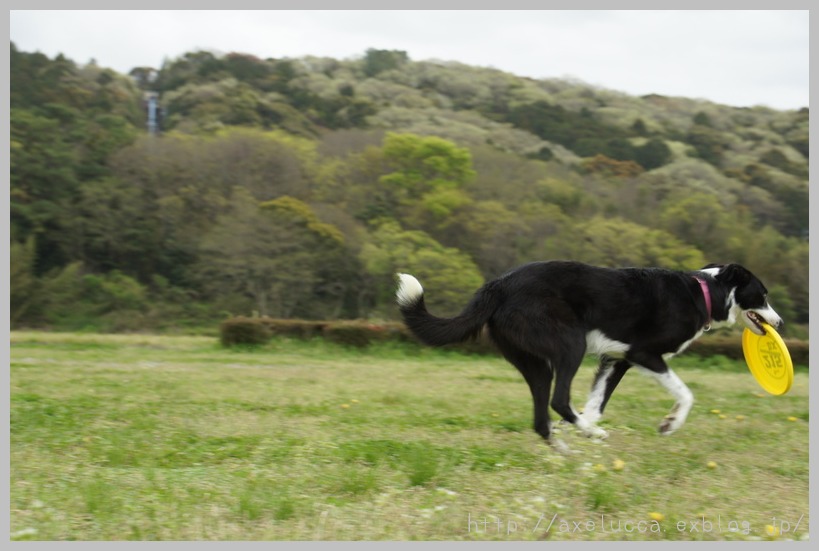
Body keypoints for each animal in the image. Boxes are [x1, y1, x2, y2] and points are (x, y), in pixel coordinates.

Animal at [400, 260, 784, 450]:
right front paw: (670, 423)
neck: (703, 292)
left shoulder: (616, 360)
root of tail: (497, 285)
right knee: (558, 400)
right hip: (570, 344)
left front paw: (583, 427)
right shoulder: (645, 354)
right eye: (763, 295)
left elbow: (597, 402)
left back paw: (566, 445)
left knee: (542, 417)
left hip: (533, 362)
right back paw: (591, 435)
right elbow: (686, 393)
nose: (779, 322)